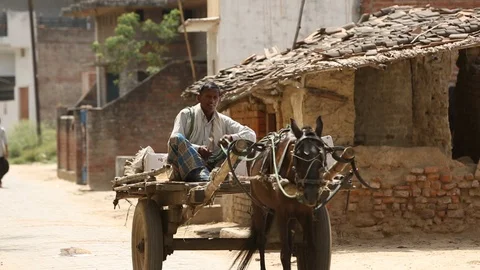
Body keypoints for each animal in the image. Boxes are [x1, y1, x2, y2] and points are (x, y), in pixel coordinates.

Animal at [232, 117, 330, 270]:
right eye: (297, 155)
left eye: (322, 154)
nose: (311, 195)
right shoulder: (282, 214)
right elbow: (285, 255)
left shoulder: (306, 213)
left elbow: (311, 248)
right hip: (258, 205)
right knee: (261, 240)